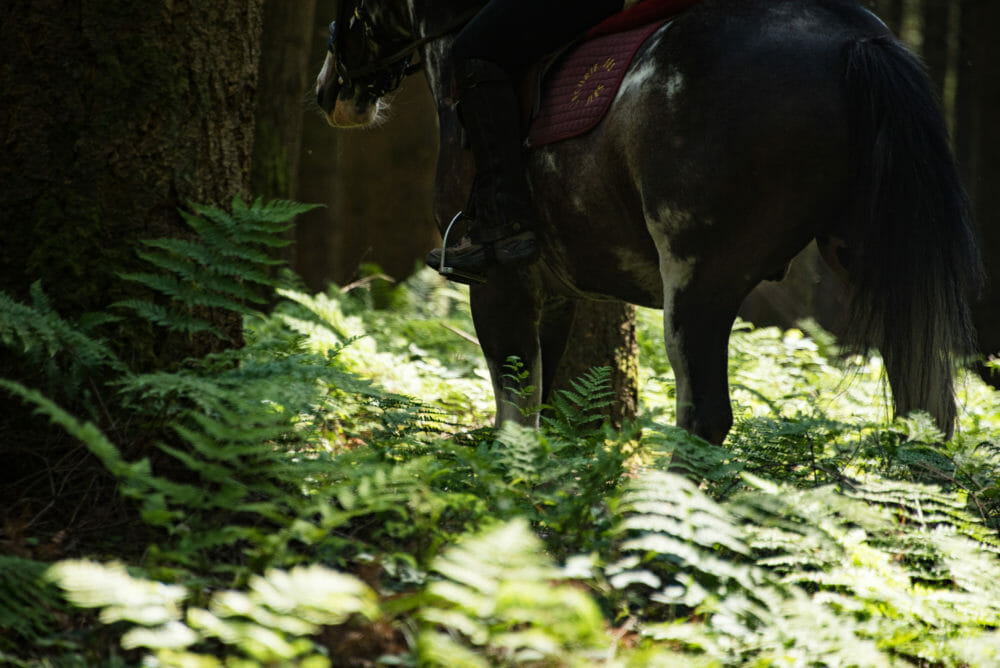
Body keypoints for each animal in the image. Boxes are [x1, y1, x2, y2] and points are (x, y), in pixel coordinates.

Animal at [316, 2, 980, 446]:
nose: (328, 94)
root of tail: (853, 38)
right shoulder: (555, 290)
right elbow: (547, 402)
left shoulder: (499, 281)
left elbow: (516, 406)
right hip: (876, 261)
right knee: (926, 406)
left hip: (698, 277)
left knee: (704, 415)